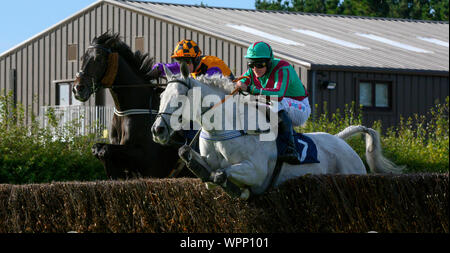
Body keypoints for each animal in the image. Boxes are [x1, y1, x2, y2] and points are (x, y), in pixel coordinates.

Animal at [71, 32, 190, 179]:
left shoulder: (150, 165)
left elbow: (105, 149)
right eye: (82, 58)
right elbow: (98, 148)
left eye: (98, 58)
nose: (78, 88)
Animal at [152, 63, 404, 200]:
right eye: (162, 95)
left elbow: (221, 173)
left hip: (351, 175)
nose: (157, 130)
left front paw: (242, 192)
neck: (226, 129)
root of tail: (341, 141)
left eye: (180, 98)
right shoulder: (208, 166)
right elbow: (207, 175)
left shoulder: (256, 170)